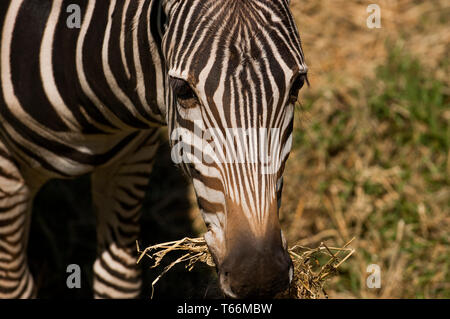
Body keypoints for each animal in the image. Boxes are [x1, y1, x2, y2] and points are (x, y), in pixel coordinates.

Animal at [0, 0, 308, 300]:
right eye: (182, 90)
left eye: (297, 84)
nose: (261, 276)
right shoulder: (8, 173)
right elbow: (14, 287)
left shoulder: (132, 158)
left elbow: (117, 278)